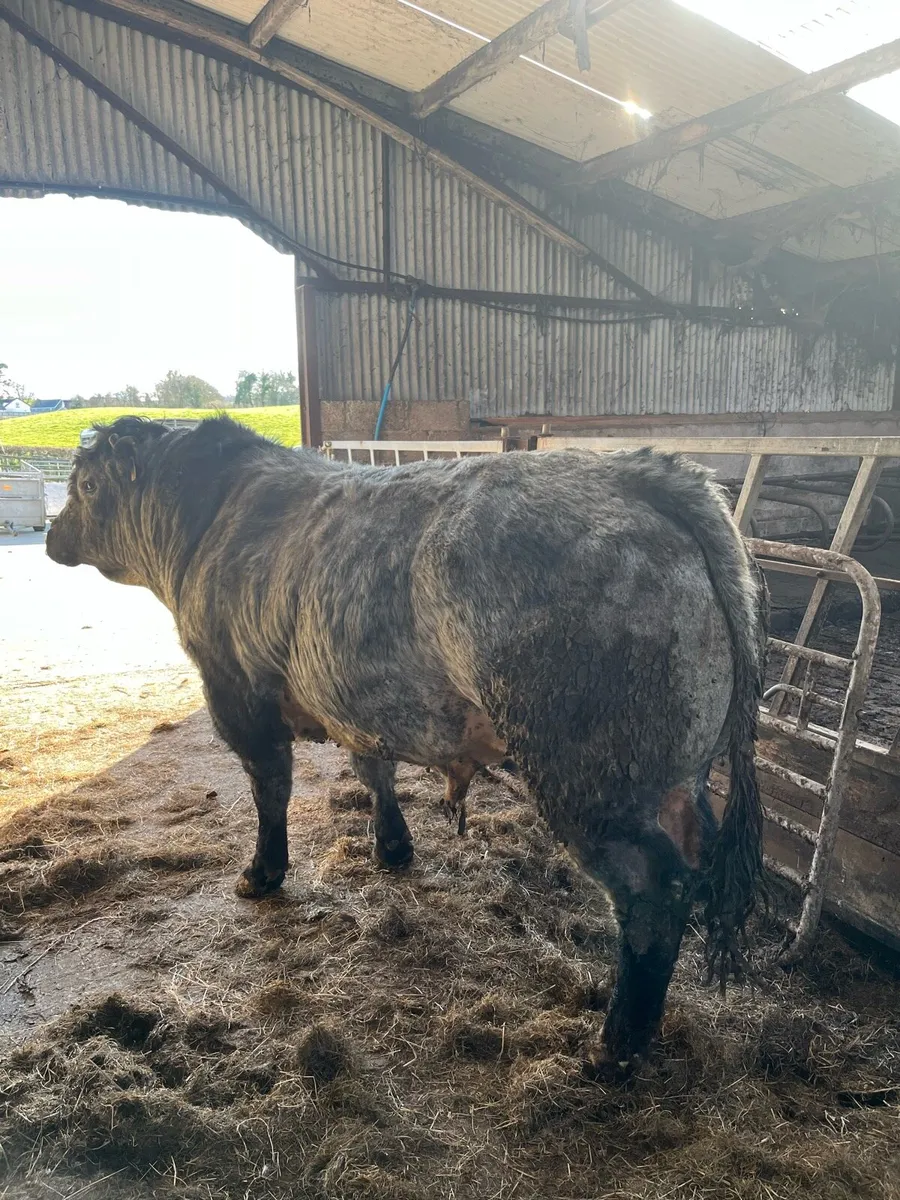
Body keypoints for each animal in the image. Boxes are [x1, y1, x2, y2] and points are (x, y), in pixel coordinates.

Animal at [46, 416, 767, 1068]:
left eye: (85, 486)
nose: (51, 538)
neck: (208, 515)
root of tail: (644, 471)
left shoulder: (237, 693)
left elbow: (270, 790)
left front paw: (262, 873)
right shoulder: (360, 702)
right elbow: (376, 773)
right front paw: (392, 848)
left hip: (590, 774)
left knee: (653, 889)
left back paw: (616, 1049)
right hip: (675, 772)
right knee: (690, 859)